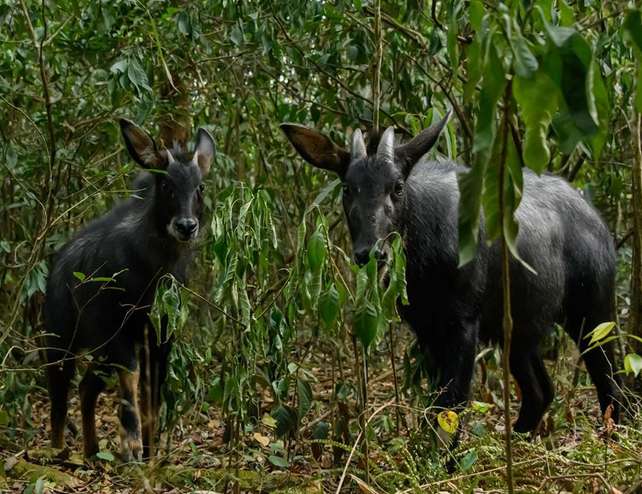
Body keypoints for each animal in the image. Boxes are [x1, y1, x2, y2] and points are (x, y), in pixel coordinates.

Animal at [45, 118, 216, 460]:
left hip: (98, 348)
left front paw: (150, 453)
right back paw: (57, 452)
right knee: (59, 393)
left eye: (200, 187)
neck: (152, 272)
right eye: (166, 185)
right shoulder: (119, 331)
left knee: (86, 386)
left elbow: (153, 393)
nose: (186, 226)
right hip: (61, 339)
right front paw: (132, 447)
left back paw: (92, 450)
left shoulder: (159, 335)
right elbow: (131, 381)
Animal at [282, 112, 620, 436]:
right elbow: (436, 404)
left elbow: (450, 405)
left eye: (397, 186)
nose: (372, 252)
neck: (423, 254)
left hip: (593, 315)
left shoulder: (463, 322)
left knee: (613, 385)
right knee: (541, 391)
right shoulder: (427, 327)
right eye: (347, 188)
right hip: (519, 332)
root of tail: (596, 219)